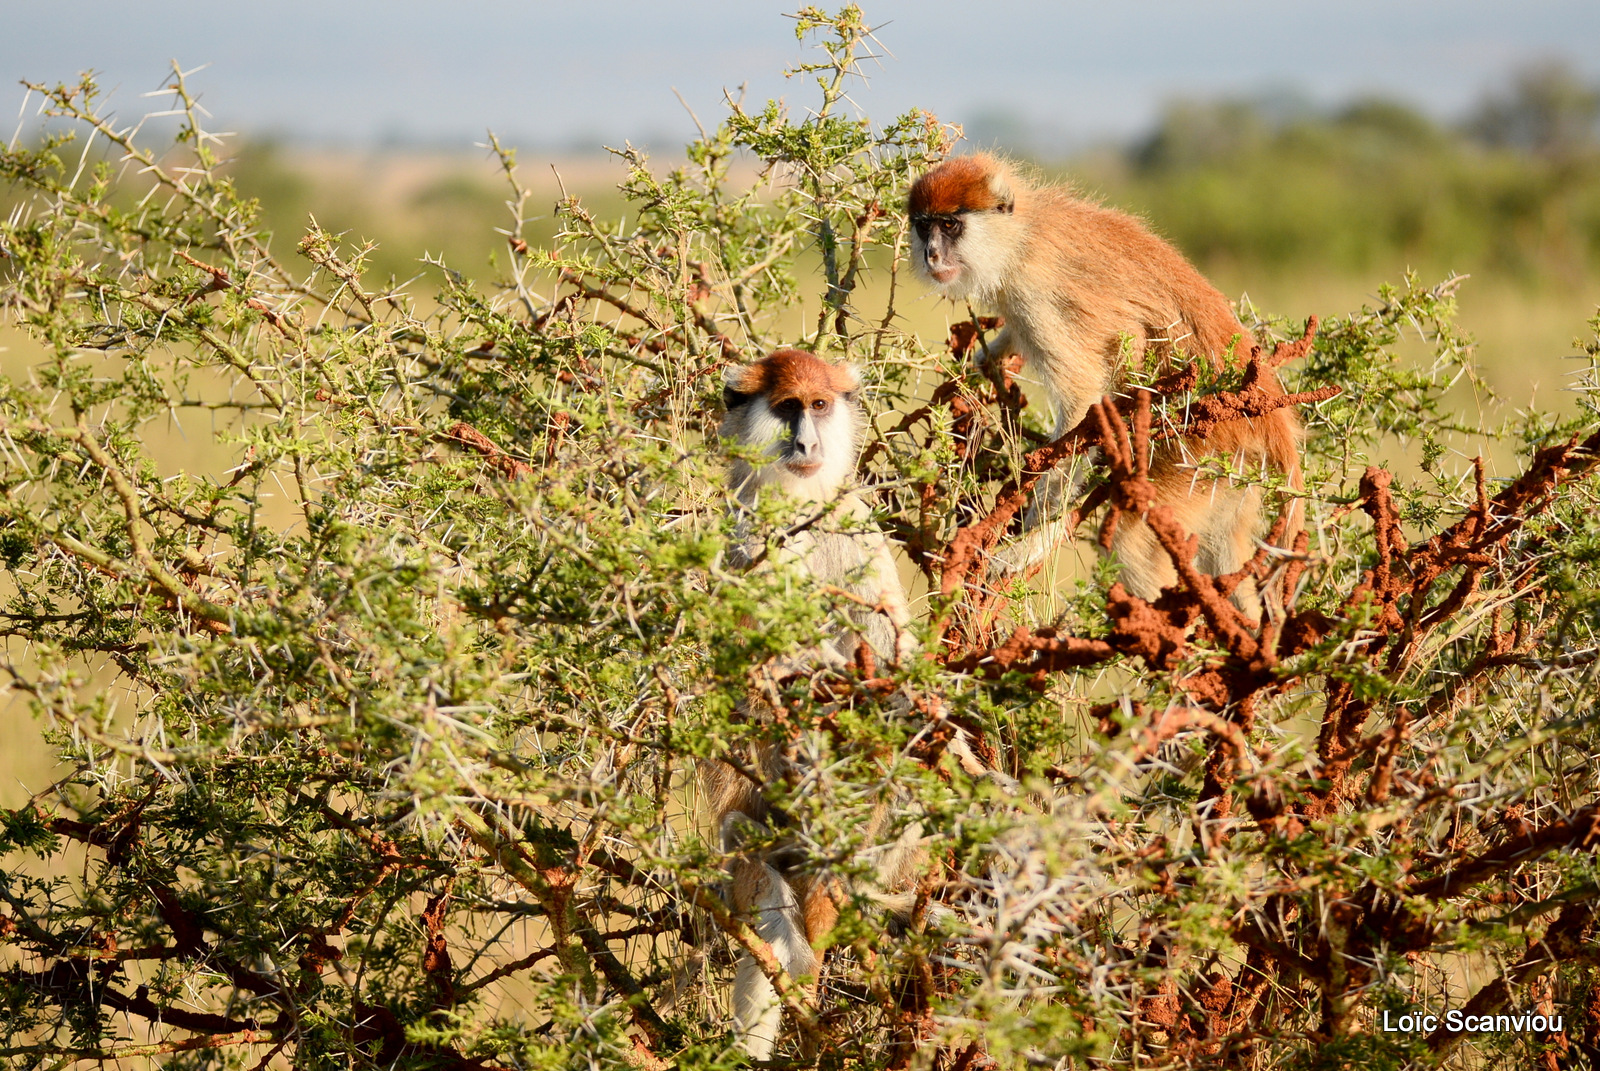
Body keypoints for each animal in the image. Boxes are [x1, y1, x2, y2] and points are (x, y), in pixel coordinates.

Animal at [908, 155, 1305, 614]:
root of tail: (1270, 421)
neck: (1019, 236)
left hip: (1203, 447)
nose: (932, 254)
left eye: (950, 224)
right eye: (924, 225)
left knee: (1133, 543)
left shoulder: (1034, 291)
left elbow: (1084, 400)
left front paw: (1035, 536)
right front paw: (989, 359)